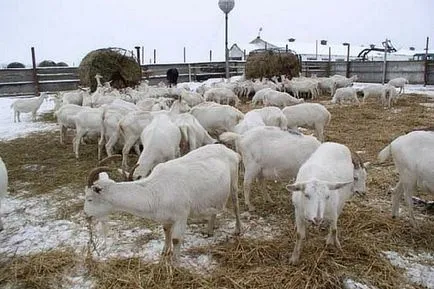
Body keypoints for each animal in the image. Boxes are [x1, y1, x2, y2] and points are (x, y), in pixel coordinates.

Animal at [84, 144, 241, 258]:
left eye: (89, 198)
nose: (86, 215)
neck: (154, 190)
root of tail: (231, 152)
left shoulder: (181, 215)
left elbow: (176, 239)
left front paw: (175, 263)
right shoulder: (165, 216)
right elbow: (166, 230)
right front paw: (165, 251)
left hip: (234, 182)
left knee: (236, 205)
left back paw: (238, 230)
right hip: (215, 194)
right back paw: (209, 230)